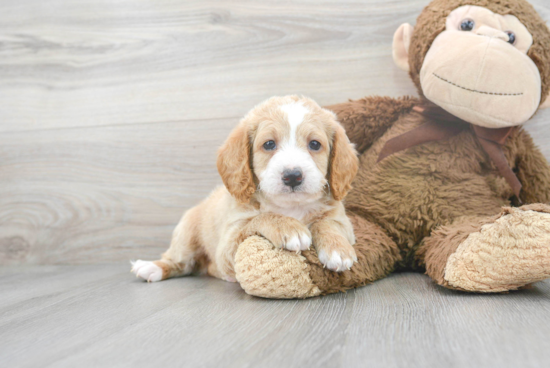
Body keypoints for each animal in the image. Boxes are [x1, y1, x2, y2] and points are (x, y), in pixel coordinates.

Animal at [132, 95, 360, 282]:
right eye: (269, 144)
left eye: (314, 144)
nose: (293, 176)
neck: (290, 207)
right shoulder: (229, 244)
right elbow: (259, 218)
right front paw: (288, 227)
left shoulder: (344, 223)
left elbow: (327, 223)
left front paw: (338, 248)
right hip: (186, 235)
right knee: (179, 261)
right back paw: (151, 268)